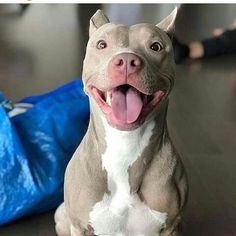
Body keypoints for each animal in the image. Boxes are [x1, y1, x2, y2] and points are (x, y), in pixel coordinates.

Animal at [54, 8, 188, 236]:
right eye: (101, 44)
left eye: (156, 46)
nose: (126, 60)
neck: (125, 145)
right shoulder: (78, 226)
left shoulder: (171, 226)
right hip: (62, 217)